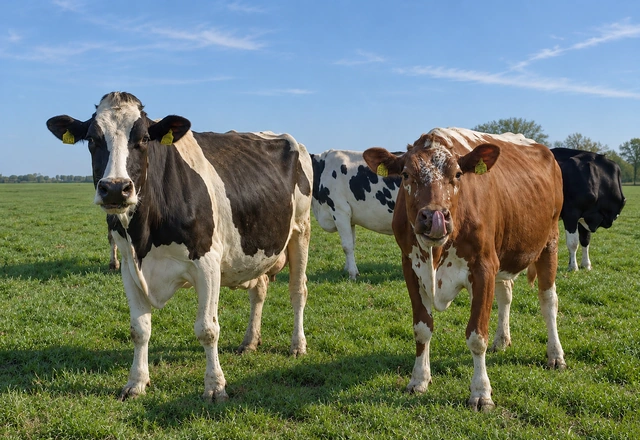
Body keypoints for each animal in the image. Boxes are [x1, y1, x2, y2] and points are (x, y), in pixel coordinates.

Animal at [46, 91, 312, 402]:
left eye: (144, 138)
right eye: (91, 139)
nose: (114, 188)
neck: (145, 236)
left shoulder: (207, 263)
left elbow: (207, 329)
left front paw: (215, 386)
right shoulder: (129, 267)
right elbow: (139, 329)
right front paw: (136, 382)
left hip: (301, 230)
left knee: (298, 290)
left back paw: (297, 345)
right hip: (257, 246)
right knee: (258, 291)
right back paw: (249, 341)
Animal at [311, 150, 401, 279]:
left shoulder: (340, 211)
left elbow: (347, 245)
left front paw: (352, 274)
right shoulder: (350, 219)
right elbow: (352, 243)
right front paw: (348, 269)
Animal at [363, 128, 565, 411]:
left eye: (458, 174)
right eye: (405, 175)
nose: (433, 216)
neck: (435, 255)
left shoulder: (483, 268)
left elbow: (476, 335)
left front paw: (481, 392)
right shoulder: (411, 267)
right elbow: (422, 328)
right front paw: (419, 379)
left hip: (550, 242)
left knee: (548, 301)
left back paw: (555, 354)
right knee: (506, 295)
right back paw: (502, 340)